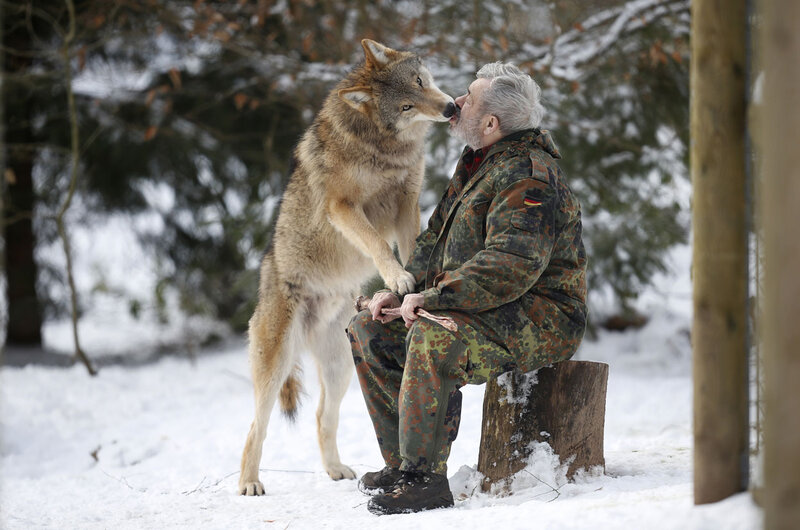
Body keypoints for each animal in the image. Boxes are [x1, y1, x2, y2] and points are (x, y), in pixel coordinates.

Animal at [238, 39, 455, 496]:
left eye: (420, 82)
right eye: (407, 106)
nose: (449, 108)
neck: (382, 147)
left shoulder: (407, 201)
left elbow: (411, 244)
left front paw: (413, 284)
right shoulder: (343, 207)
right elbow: (377, 243)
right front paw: (397, 277)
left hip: (340, 368)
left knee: (323, 416)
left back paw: (336, 470)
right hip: (276, 365)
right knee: (256, 426)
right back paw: (249, 484)